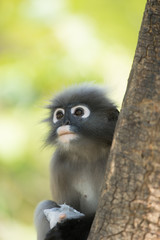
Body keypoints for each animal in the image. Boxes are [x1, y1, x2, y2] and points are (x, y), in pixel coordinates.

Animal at [34, 83, 119, 239]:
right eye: (59, 115)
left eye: (79, 112)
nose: (64, 122)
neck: (89, 154)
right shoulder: (58, 164)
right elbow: (66, 206)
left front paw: (67, 230)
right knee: (45, 205)